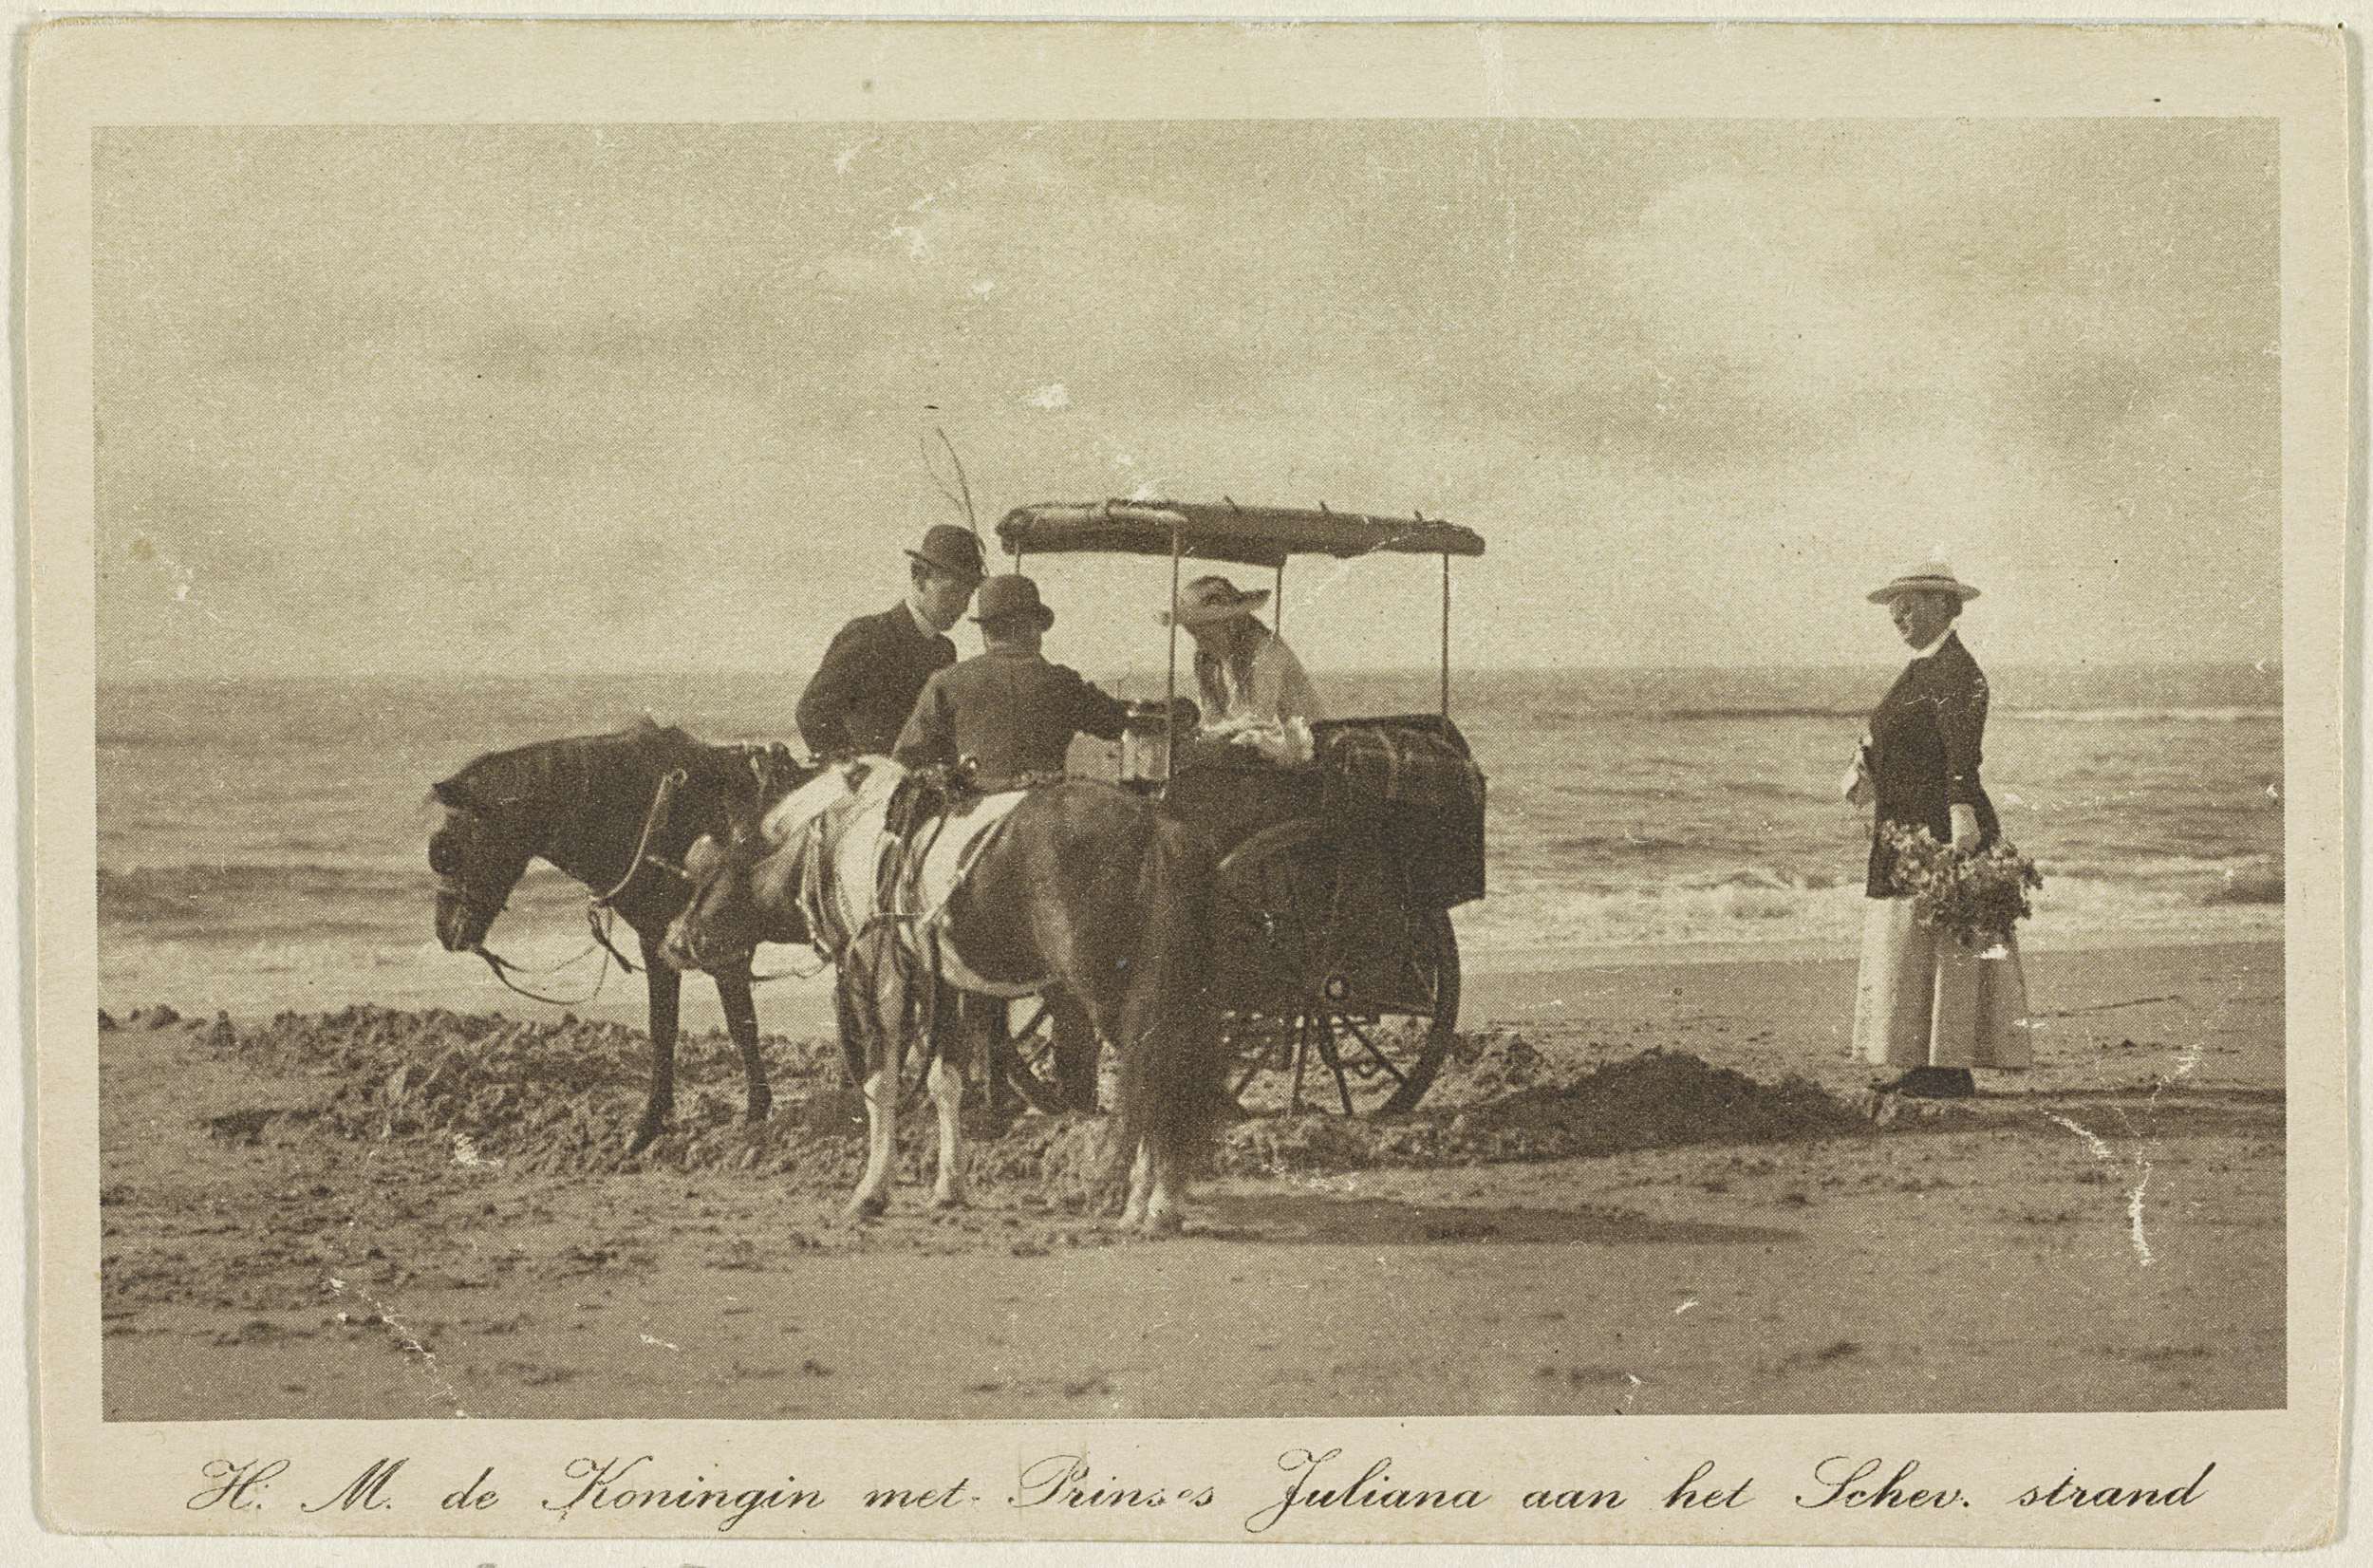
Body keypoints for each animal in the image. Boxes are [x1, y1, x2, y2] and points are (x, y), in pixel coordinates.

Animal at [426, 719, 796, 1154]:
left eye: (447, 850)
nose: (444, 930)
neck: (668, 820)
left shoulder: (724, 950)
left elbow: (742, 1026)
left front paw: (755, 1113)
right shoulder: (655, 942)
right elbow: (663, 1029)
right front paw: (651, 1124)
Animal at [659, 760, 1223, 1234]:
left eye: (712, 874)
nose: (673, 939)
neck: (843, 840)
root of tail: (1154, 826)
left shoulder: (880, 978)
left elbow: (881, 1083)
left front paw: (871, 1190)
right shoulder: (943, 984)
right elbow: (944, 1082)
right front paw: (949, 1186)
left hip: (1117, 1000)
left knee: (1154, 1077)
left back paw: (1149, 1205)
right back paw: (1158, 1201)